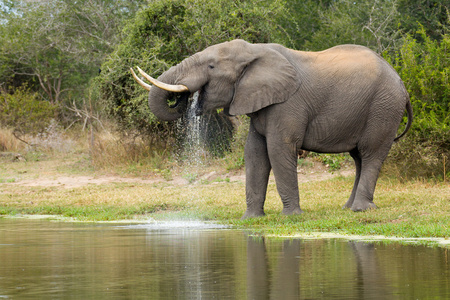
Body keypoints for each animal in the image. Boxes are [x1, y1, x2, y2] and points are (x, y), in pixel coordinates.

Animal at [129, 39, 412, 218]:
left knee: (371, 153)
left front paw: (291, 216)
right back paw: (347, 208)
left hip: (384, 107)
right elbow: (254, 153)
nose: (183, 100)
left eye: (211, 67)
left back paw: (360, 210)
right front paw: (251, 219)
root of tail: (401, 82)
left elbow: (278, 149)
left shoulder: (287, 104)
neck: (255, 52)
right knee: (358, 158)